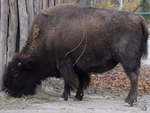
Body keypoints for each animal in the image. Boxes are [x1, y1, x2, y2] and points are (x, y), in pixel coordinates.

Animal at [2, 3, 149, 106]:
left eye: (15, 73)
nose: (6, 90)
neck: (47, 35)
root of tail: (139, 18)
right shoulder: (78, 66)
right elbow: (81, 80)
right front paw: (78, 96)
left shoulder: (64, 63)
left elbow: (68, 80)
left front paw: (63, 97)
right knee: (135, 77)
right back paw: (132, 100)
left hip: (127, 61)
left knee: (134, 78)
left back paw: (129, 101)